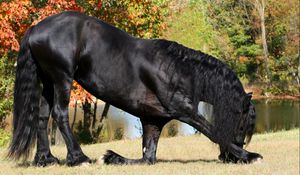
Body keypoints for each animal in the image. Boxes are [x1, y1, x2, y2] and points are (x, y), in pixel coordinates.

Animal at [7, 11, 262, 166]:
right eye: (242, 124)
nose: (228, 158)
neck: (176, 69)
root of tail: (36, 29)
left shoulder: (153, 121)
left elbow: (147, 157)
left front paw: (112, 157)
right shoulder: (184, 111)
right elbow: (211, 130)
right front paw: (250, 155)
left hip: (48, 81)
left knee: (42, 117)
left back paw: (45, 158)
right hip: (62, 78)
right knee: (60, 114)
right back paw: (79, 157)